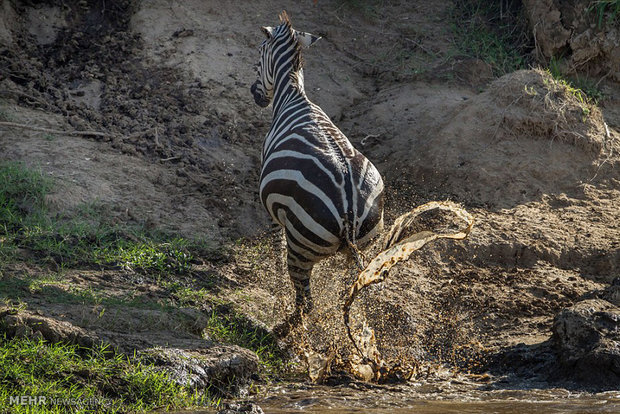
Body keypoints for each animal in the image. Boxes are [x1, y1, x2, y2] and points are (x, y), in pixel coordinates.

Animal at [249, 10, 386, 334]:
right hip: (366, 245)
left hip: (301, 244)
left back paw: (282, 330)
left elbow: (276, 242)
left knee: (306, 302)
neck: (293, 95)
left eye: (258, 55)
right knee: (346, 296)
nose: (255, 95)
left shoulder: (276, 210)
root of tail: (349, 207)